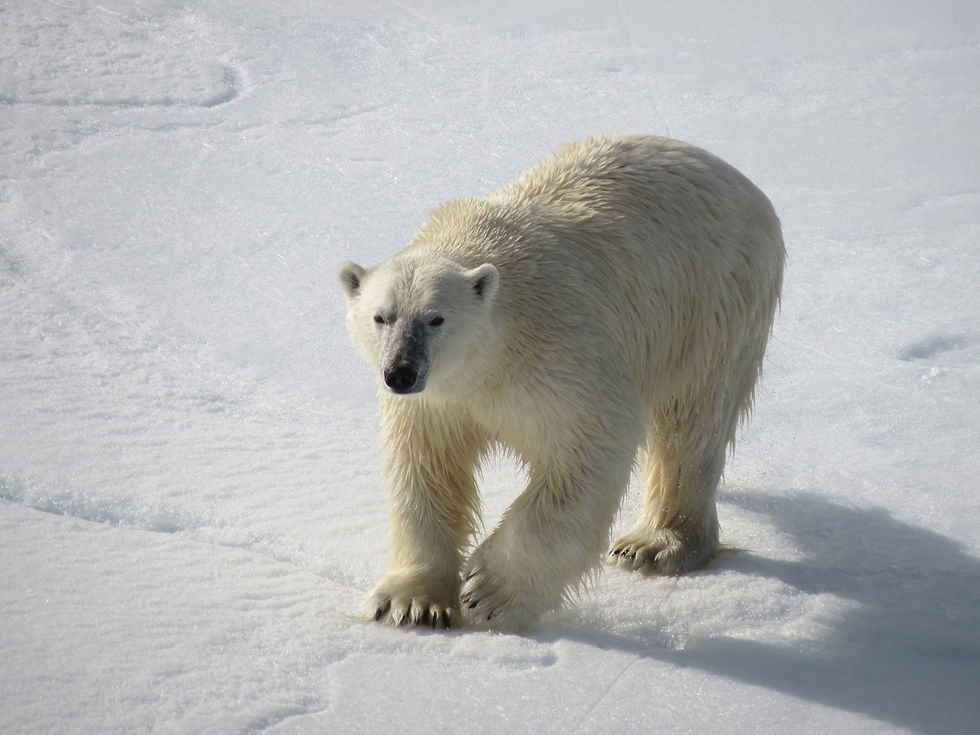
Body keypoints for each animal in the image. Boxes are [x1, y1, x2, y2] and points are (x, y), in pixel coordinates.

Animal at [338, 135, 784, 631]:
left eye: (436, 318)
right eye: (381, 316)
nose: (401, 371)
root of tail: (730, 172)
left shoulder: (561, 355)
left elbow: (588, 448)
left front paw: (490, 589)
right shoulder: (437, 402)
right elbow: (425, 470)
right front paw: (412, 603)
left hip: (712, 303)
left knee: (690, 424)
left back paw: (651, 545)